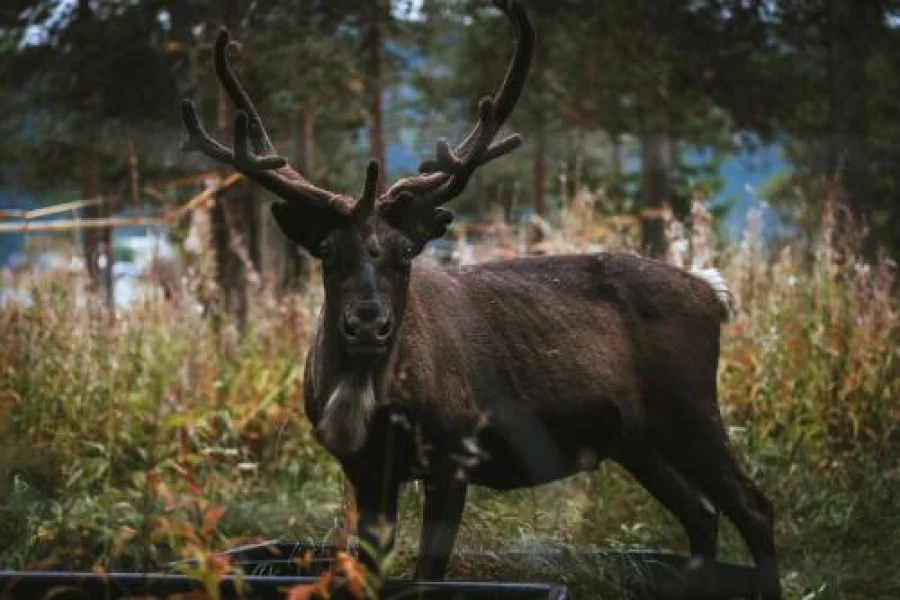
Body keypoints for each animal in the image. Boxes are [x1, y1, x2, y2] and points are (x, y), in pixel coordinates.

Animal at [179, 1, 781, 598]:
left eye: (405, 250)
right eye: (326, 250)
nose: (368, 323)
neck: (365, 392)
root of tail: (711, 291)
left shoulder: (455, 454)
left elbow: (429, 575)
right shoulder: (364, 467)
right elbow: (370, 573)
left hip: (690, 405)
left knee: (754, 507)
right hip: (635, 437)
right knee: (701, 513)